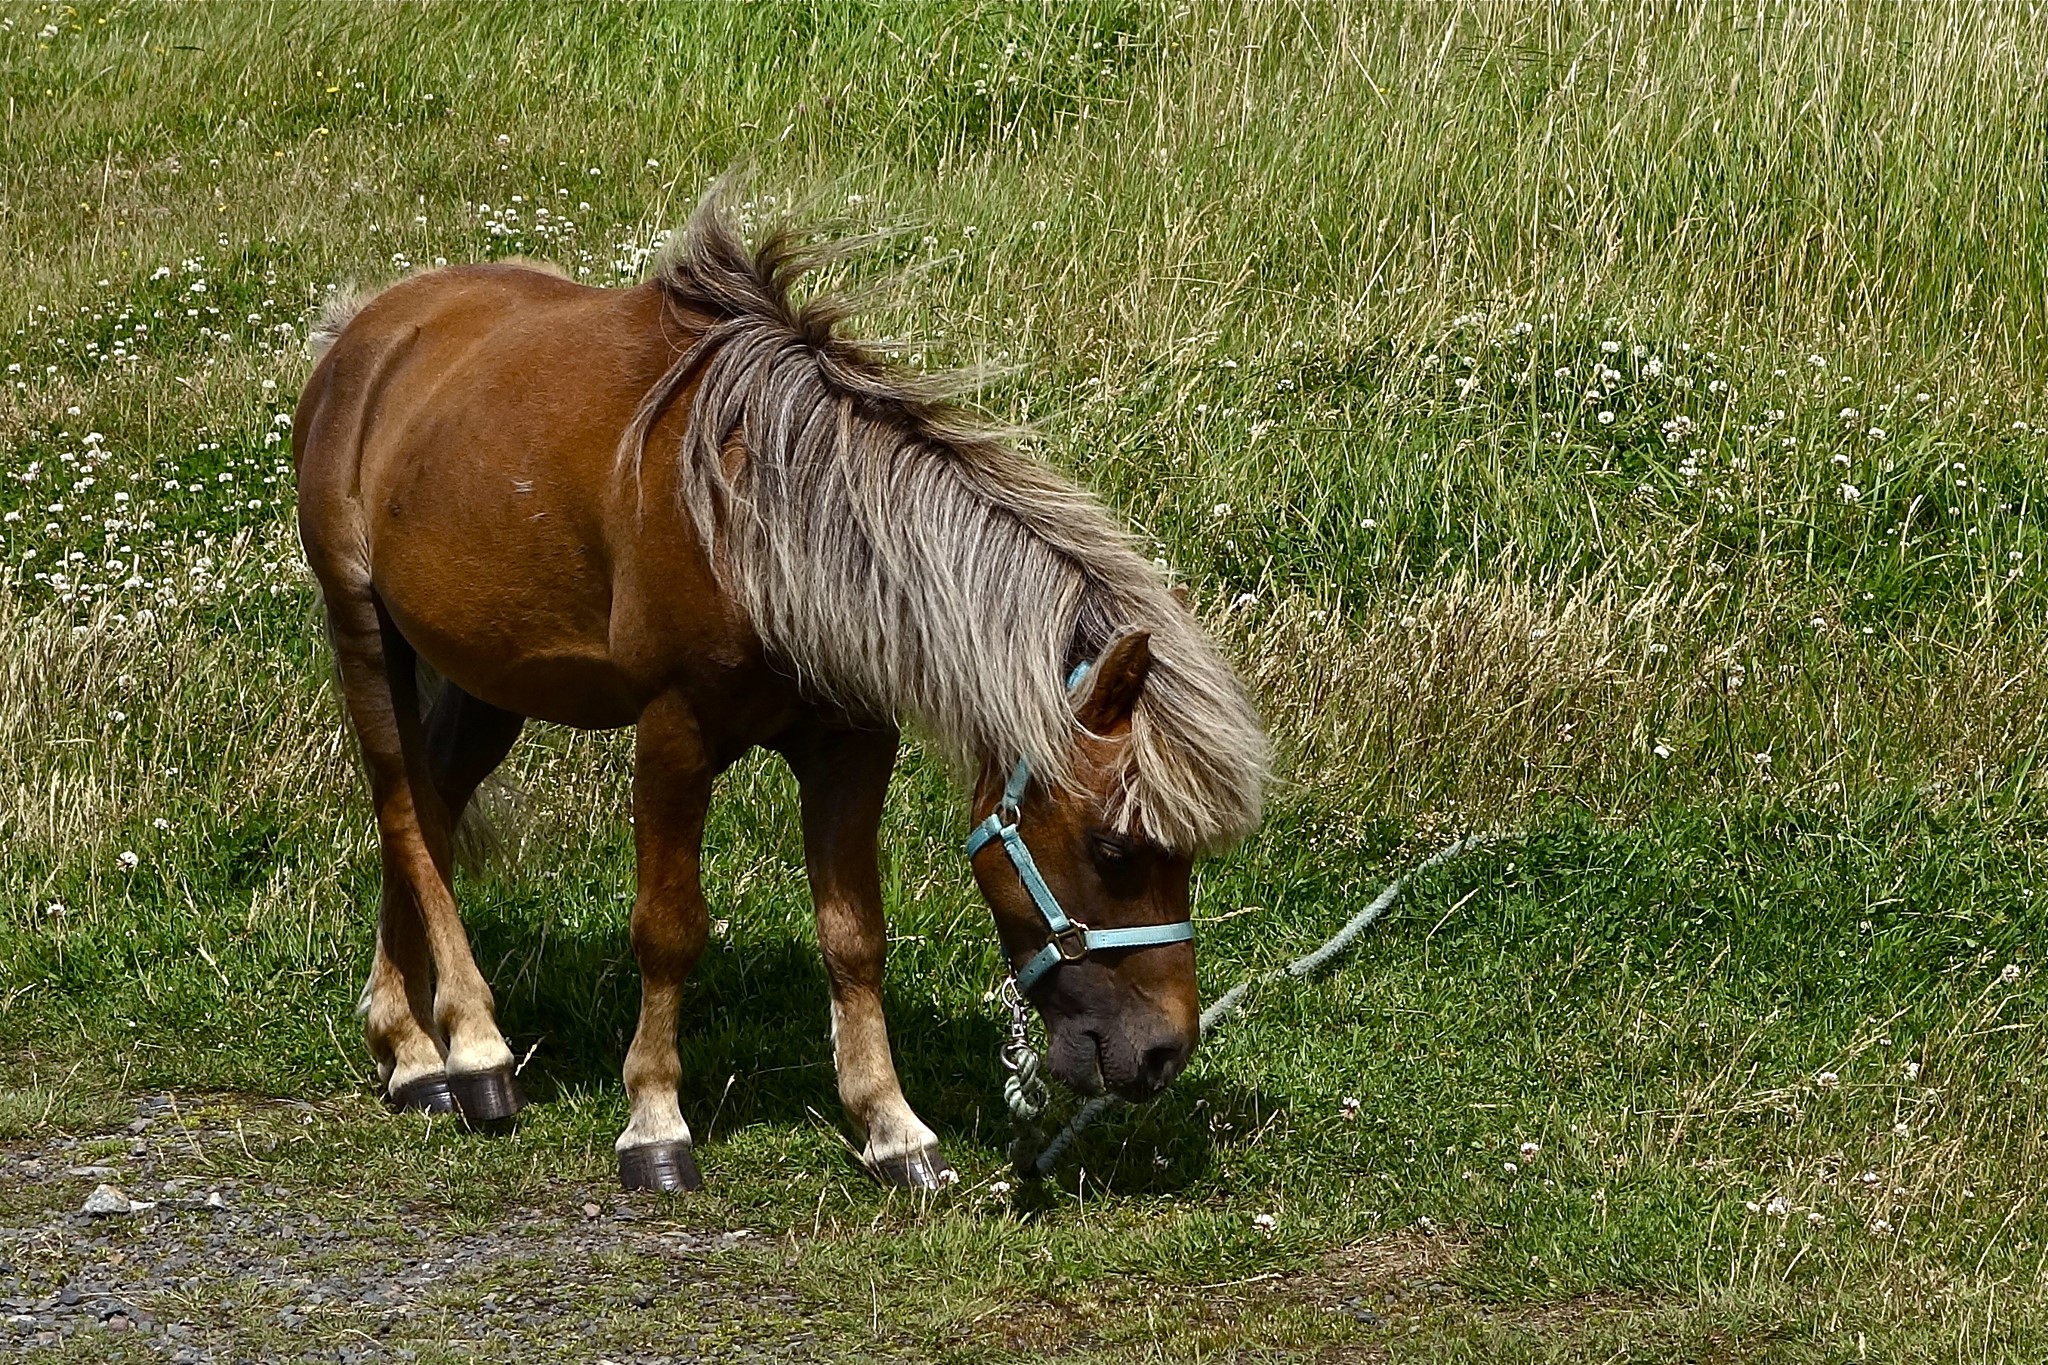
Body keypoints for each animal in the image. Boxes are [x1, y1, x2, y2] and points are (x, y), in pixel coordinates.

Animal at [292, 189, 1270, 1191]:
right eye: (1113, 847)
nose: (1163, 1053)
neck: (769, 519)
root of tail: (364, 329)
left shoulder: (853, 742)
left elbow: (855, 935)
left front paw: (892, 1126)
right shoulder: (674, 730)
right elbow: (668, 929)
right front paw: (654, 1122)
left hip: (488, 677)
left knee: (430, 810)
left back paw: (408, 1044)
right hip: (364, 629)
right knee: (406, 814)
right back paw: (463, 1050)